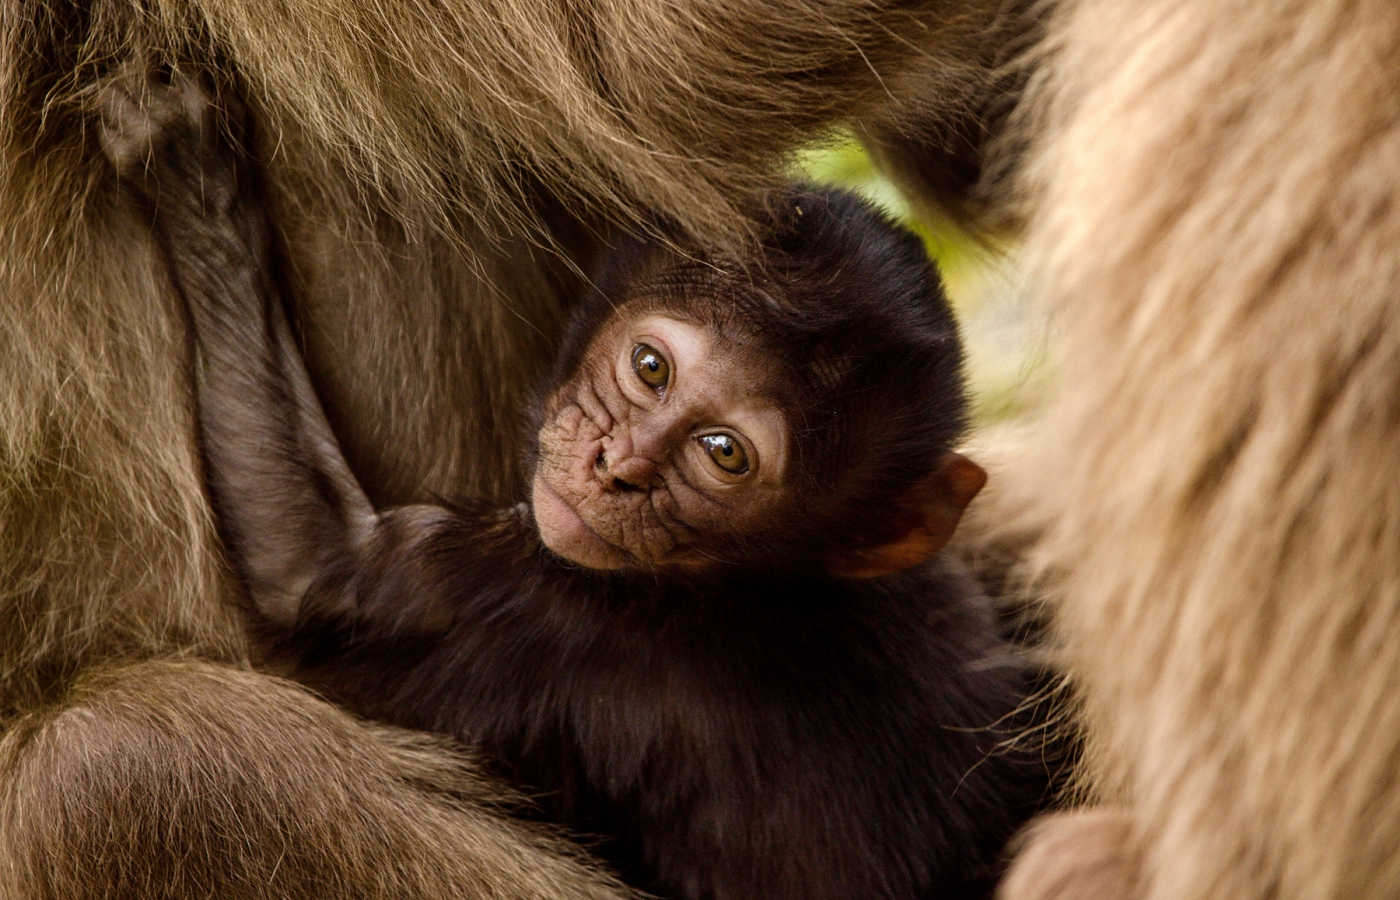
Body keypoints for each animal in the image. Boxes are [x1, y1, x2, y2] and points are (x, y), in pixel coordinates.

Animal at [0, 0, 1030, 895]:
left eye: (725, 454)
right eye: (649, 368)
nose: (621, 468)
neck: (762, 582)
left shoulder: (535, 602)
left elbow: (314, 574)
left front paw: (195, 188)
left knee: (115, 771)